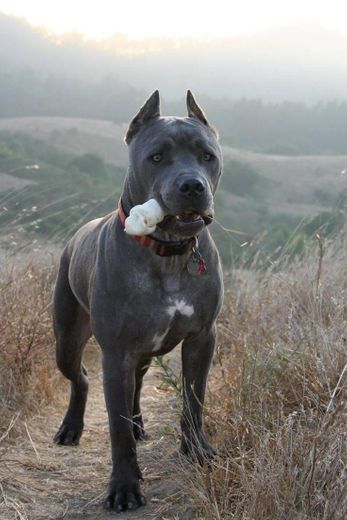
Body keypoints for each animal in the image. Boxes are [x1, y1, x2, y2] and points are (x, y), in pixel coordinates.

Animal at [53, 89, 224, 512]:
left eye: (207, 156)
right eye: (157, 157)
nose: (192, 186)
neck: (169, 252)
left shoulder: (202, 339)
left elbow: (193, 400)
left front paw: (196, 450)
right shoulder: (116, 354)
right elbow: (117, 428)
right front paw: (124, 486)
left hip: (143, 352)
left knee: (137, 385)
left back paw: (140, 423)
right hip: (67, 341)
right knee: (81, 377)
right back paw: (71, 427)